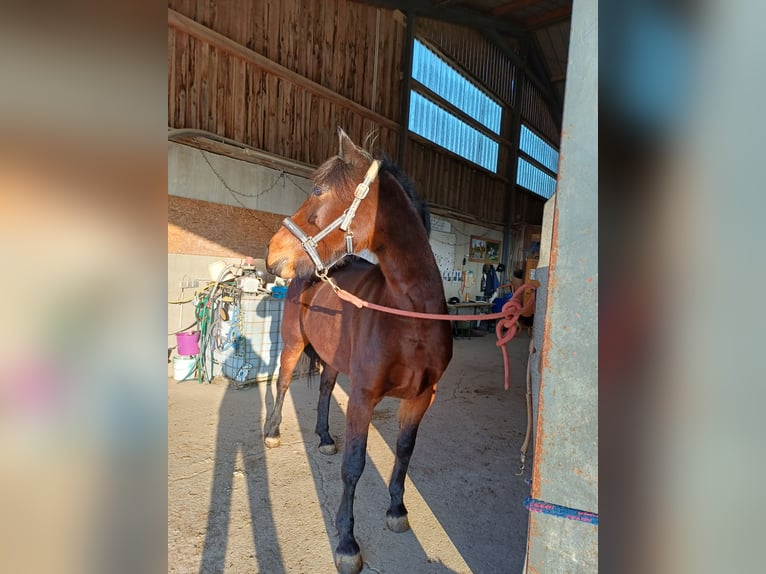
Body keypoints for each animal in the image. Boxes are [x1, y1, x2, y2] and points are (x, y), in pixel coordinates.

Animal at [266, 128, 456, 572]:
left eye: (317, 192)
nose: (272, 255)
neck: (409, 317)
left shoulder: (422, 397)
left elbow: (404, 451)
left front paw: (397, 510)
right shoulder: (364, 396)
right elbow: (354, 465)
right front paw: (347, 543)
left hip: (334, 361)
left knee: (322, 391)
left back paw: (322, 437)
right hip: (292, 345)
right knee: (282, 384)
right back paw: (274, 432)